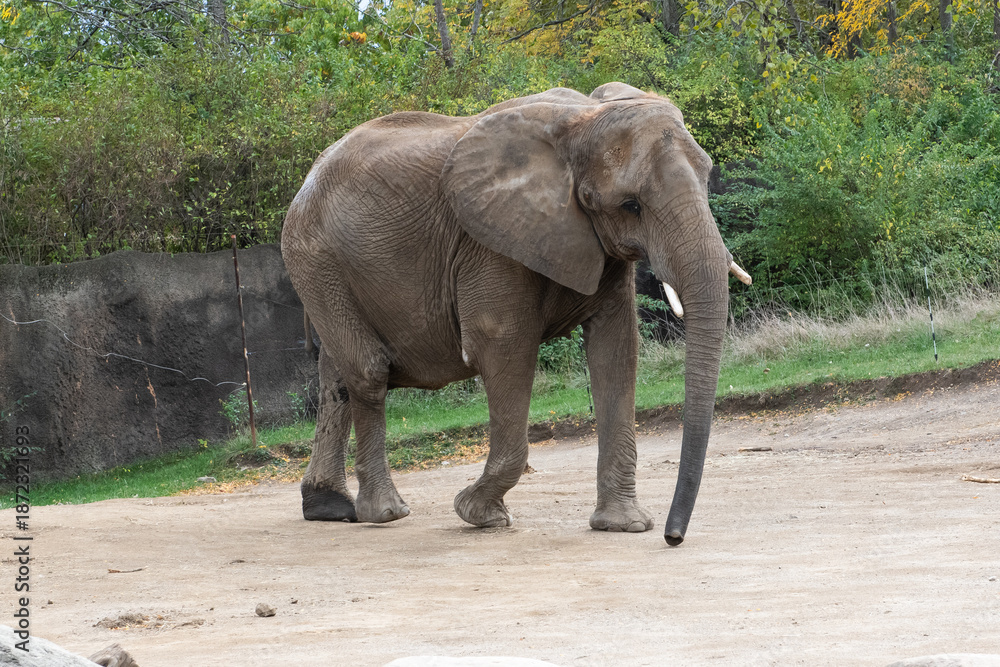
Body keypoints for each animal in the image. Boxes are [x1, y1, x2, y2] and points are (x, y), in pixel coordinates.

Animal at [281, 82, 751, 545]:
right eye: (630, 205)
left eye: (707, 177)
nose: (673, 538)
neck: (584, 120)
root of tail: (308, 177)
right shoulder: (489, 243)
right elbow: (503, 344)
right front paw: (478, 514)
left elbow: (616, 348)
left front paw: (623, 526)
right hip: (314, 257)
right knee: (367, 369)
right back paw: (386, 514)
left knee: (338, 374)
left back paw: (329, 509)